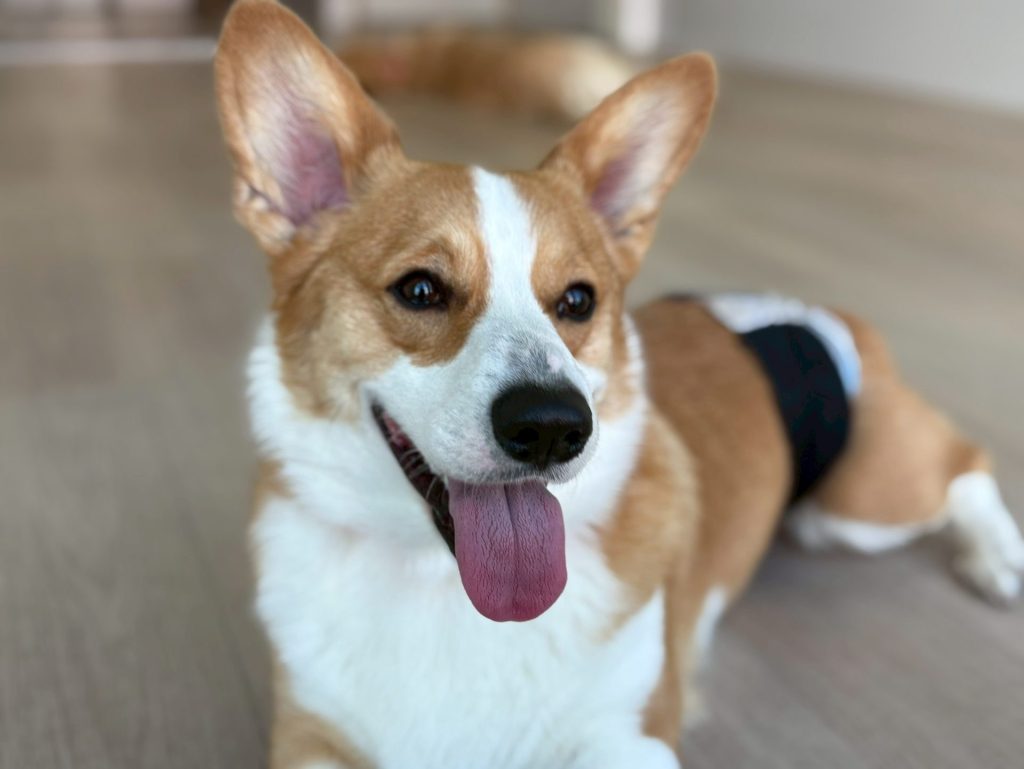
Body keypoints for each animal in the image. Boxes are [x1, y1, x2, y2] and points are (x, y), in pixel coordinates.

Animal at [214, 2, 1024, 767]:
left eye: (578, 300)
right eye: (419, 289)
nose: (551, 427)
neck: (441, 583)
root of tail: (815, 309)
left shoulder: (631, 736)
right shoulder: (307, 736)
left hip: (858, 504)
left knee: (964, 465)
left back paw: (998, 558)